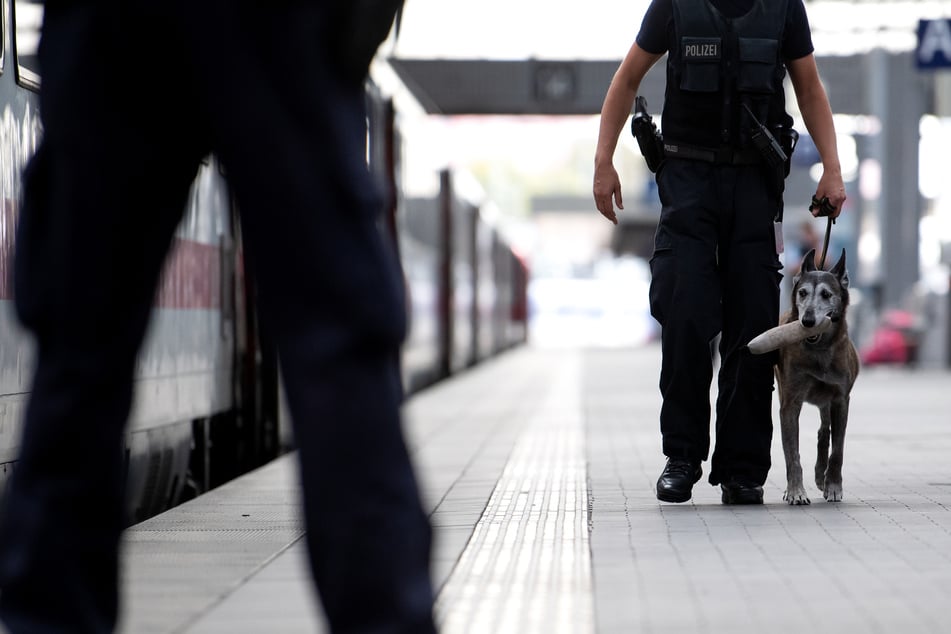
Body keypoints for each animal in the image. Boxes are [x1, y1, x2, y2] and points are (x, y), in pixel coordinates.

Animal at [776, 247, 860, 504]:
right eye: (802, 293)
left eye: (826, 294)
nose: (808, 321)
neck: (819, 351)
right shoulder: (790, 402)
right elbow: (791, 453)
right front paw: (795, 491)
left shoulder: (841, 400)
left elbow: (838, 449)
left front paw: (833, 486)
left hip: (828, 400)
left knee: (825, 431)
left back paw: (821, 474)